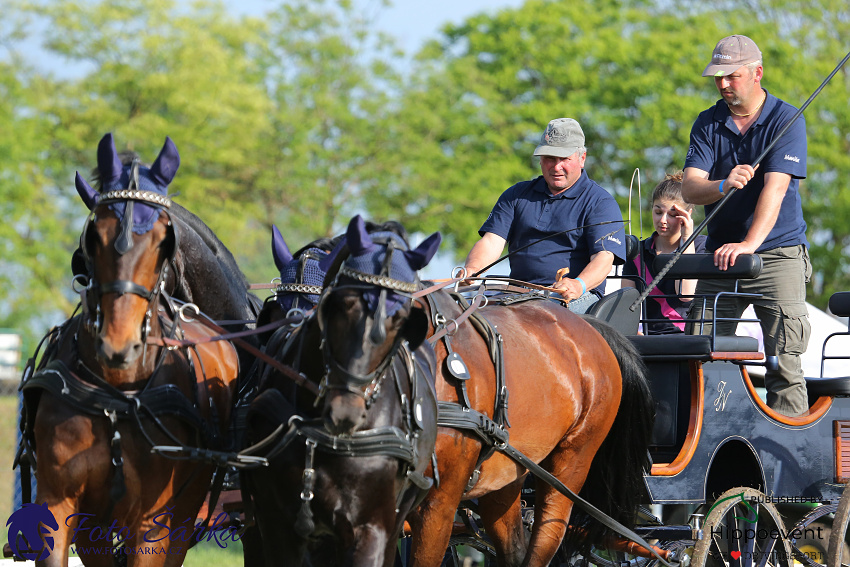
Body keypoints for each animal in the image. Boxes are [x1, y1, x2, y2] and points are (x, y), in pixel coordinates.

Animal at [17, 136, 242, 564]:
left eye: (163, 240)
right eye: (91, 239)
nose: (118, 343)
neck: (116, 395)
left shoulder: (154, 519)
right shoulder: (64, 507)